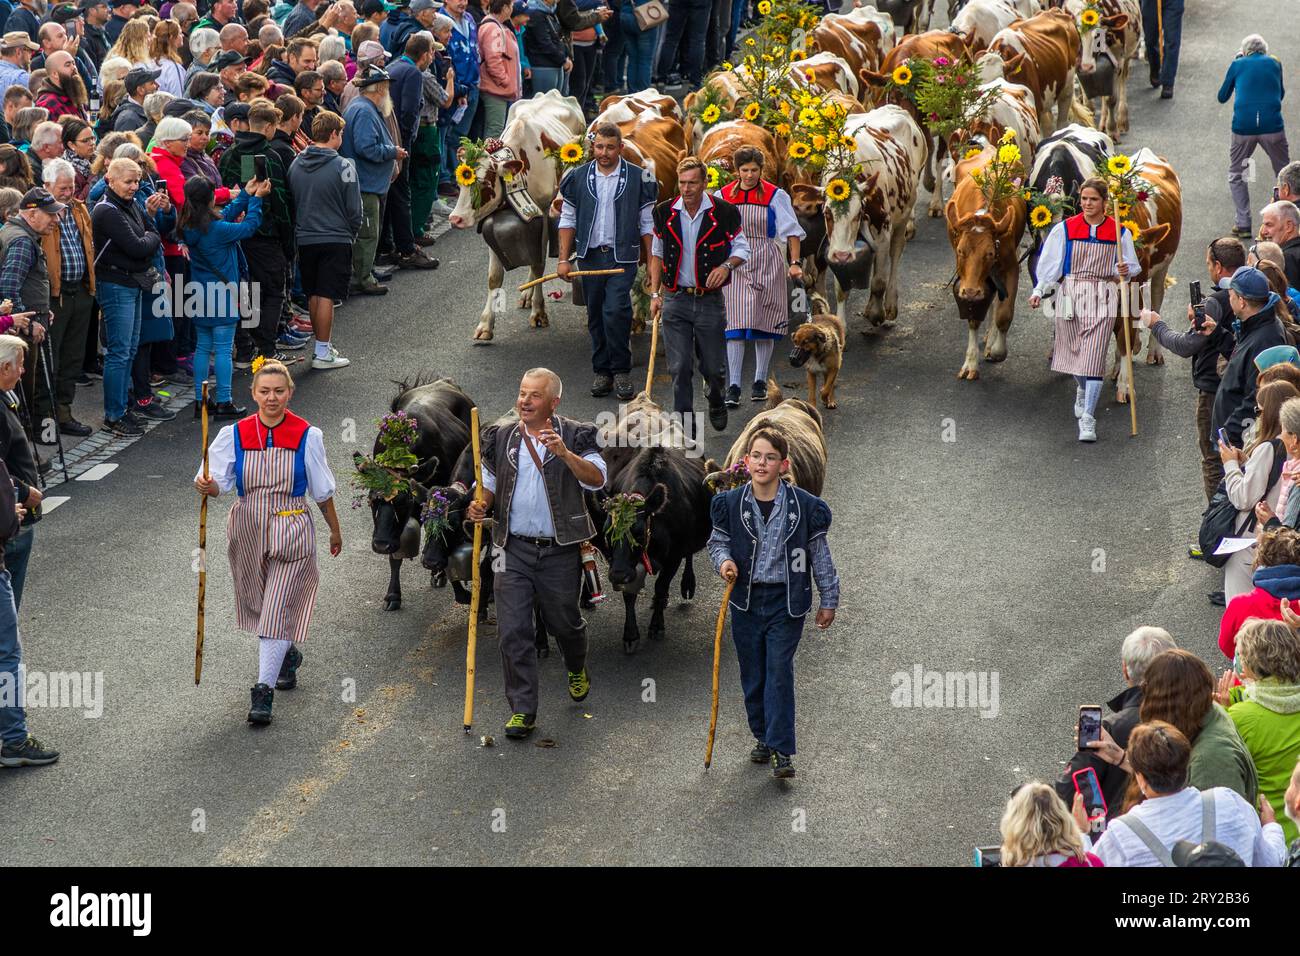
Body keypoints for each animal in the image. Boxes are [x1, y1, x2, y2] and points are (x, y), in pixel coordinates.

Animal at [361, 374, 473, 608]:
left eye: (404, 501)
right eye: (372, 500)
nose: (380, 544)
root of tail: (444, 381)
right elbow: (396, 556)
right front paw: (393, 595)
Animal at [449, 89, 587, 343]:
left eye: (484, 183)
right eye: (460, 182)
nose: (456, 219)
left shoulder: (544, 212)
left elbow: (539, 264)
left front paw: (539, 312)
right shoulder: (491, 218)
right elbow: (494, 277)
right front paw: (485, 324)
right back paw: (526, 294)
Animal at [785, 104, 930, 329]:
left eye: (858, 213)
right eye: (827, 213)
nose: (842, 255)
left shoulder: (882, 229)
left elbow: (878, 280)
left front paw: (877, 313)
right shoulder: (835, 243)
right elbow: (841, 288)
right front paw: (841, 324)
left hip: (904, 215)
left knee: (896, 254)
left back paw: (889, 305)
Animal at [946, 145, 1024, 377]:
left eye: (990, 253)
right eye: (960, 251)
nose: (971, 292)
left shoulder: (1011, 267)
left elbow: (1004, 313)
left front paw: (998, 351)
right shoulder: (966, 277)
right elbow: (974, 316)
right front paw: (970, 363)